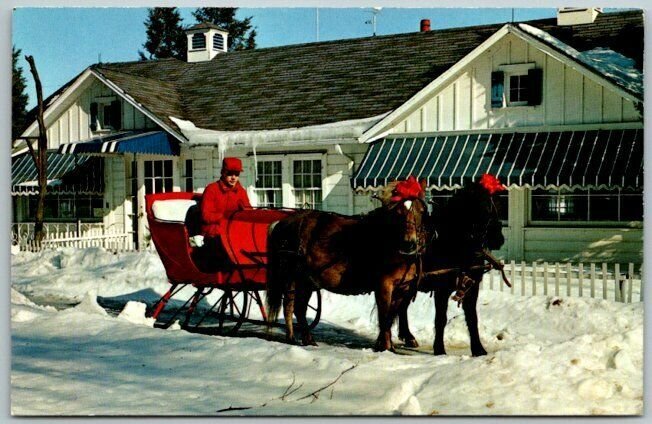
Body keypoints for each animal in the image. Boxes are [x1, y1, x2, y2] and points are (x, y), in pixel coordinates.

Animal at [264, 176, 428, 352]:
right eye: (398, 213)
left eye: (421, 211)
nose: (409, 244)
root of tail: (281, 223)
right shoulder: (384, 285)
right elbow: (384, 316)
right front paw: (385, 347)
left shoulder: (402, 287)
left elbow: (392, 315)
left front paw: (387, 344)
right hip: (293, 276)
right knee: (291, 306)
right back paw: (294, 338)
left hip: (307, 280)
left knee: (297, 307)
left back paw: (304, 338)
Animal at [398, 174, 510, 356]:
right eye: (483, 207)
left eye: (500, 205)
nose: (498, 239)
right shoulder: (441, 290)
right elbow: (441, 319)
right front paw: (439, 349)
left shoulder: (472, 287)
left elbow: (472, 318)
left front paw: (478, 349)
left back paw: (408, 337)